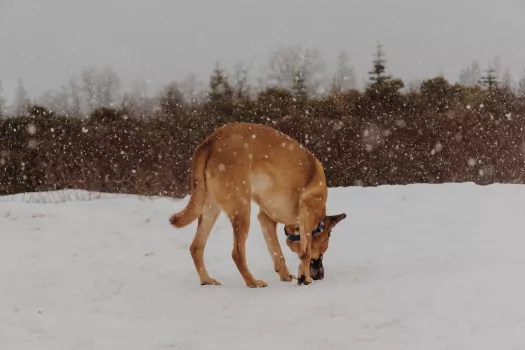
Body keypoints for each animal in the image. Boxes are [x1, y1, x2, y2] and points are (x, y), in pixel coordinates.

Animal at [169, 122, 344, 288]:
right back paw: (253, 282)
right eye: (324, 249)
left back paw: (207, 280)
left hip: (211, 209)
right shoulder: (307, 210)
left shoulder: (265, 220)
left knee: (196, 247)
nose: (320, 275)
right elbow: (305, 253)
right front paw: (305, 278)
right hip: (242, 209)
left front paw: (286, 275)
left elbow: (278, 252)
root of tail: (211, 140)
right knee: (237, 253)